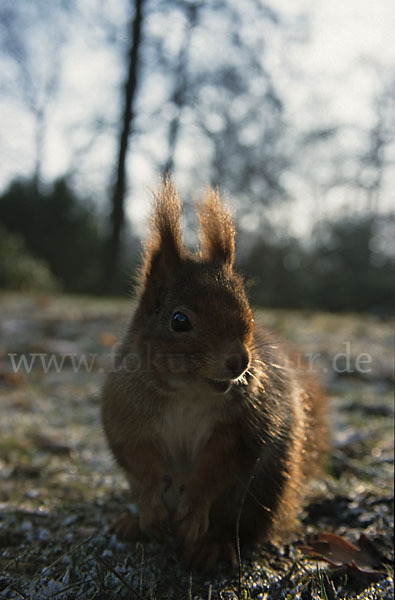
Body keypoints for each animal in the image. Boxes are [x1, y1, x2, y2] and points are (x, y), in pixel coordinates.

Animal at [101, 177, 328, 568]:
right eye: (179, 320)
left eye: (247, 309)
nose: (240, 362)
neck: (187, 393)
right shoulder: (125, 412)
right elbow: (140, 460)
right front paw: (149, 504)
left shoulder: (245, 422)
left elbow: (217, 467)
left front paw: (193, 510)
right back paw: (133, 522)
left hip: (260, 494)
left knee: (239, 528)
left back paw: (214, 544)